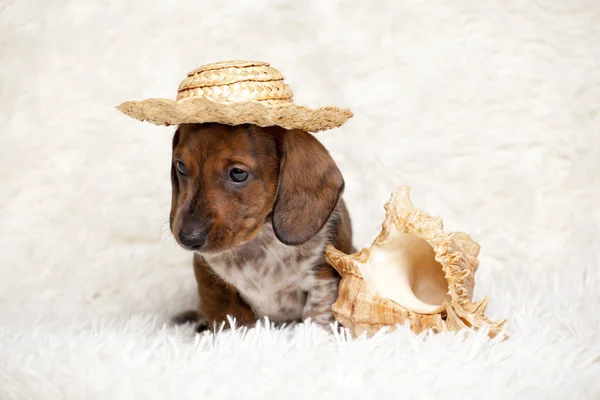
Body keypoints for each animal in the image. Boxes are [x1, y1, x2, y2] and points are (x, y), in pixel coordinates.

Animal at [169, 121, 354, 332]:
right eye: (181, 166)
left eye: (238, 173)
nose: (188, 239)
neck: (259, 243)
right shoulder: (213, 283)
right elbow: (230, 319)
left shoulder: (323, 281)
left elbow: (318, 318)